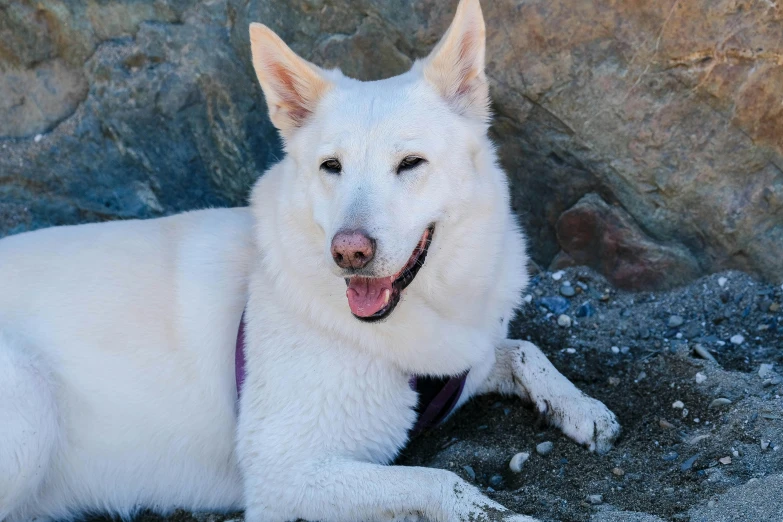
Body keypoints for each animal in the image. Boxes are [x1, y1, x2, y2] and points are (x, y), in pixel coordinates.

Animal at [0, 2, 620, 516]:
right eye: (331, 167)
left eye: (410, 163)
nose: (349, 252)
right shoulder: (285, 472)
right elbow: (444, 482)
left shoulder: (466, 356)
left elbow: (523, 348)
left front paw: (581, 406)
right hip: (30, 402)